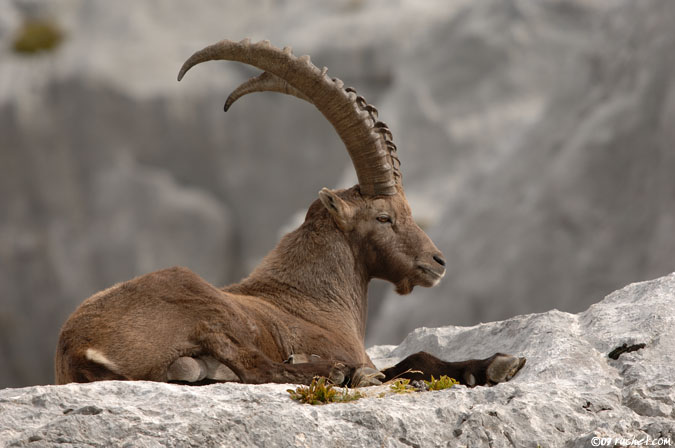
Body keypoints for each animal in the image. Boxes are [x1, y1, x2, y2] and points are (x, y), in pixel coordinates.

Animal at [55, 38, 525, 388]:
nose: (437, 261)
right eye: (384, 217)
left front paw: (498, 363)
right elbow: (411, 357)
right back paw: (337, 373)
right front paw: (498, 362)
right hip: (196, 296)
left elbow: (417, 358)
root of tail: (78, 347)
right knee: (256, 366)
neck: (315, 298)